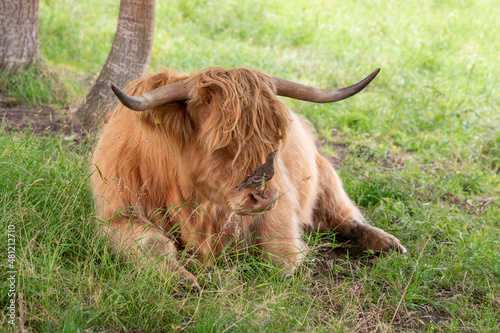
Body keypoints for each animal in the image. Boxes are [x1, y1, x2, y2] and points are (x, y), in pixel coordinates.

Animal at [92, 67, 406, 286]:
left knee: (345, 217)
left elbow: (279, 258)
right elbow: (151, 243)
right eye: (218, 142)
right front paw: (181, 280)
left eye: (273, 141)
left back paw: (387, 243)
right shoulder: (116, 215)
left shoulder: (280, 213)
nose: (263, 196)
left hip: (327, 177)